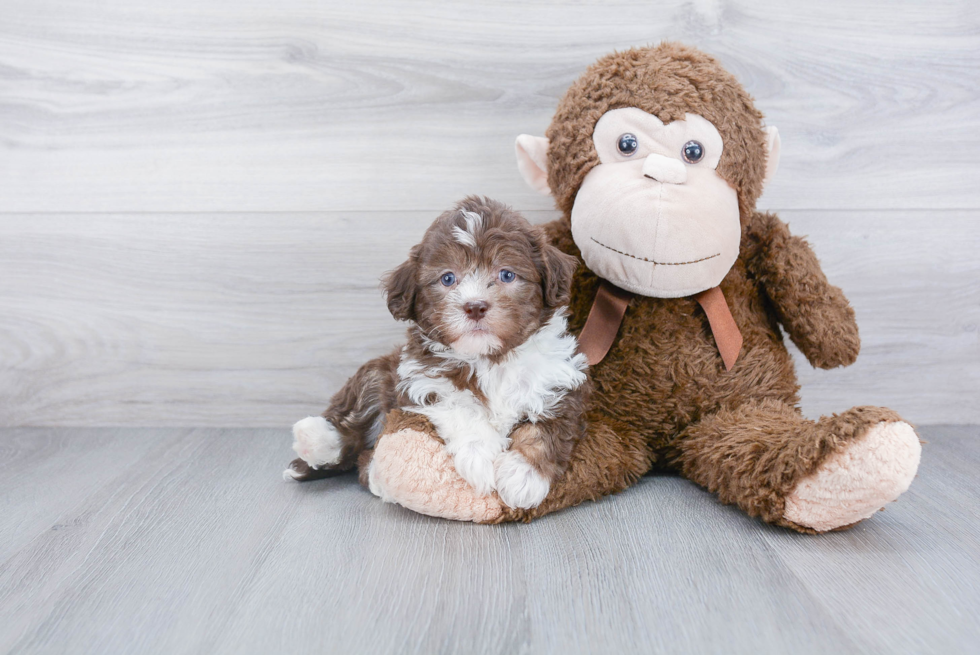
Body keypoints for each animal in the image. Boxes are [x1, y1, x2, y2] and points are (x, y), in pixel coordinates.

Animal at [284, 197, 588, 510]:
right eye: (447, 278)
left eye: (507, 274)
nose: (475, 306)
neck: (490, 359)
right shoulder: (423, 381)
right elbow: (460, 407)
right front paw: (481, 458)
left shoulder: (557, 384)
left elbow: (545, 428)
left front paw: (523, 475)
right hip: (378, 374)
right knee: (355, 422)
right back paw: (315, 438)